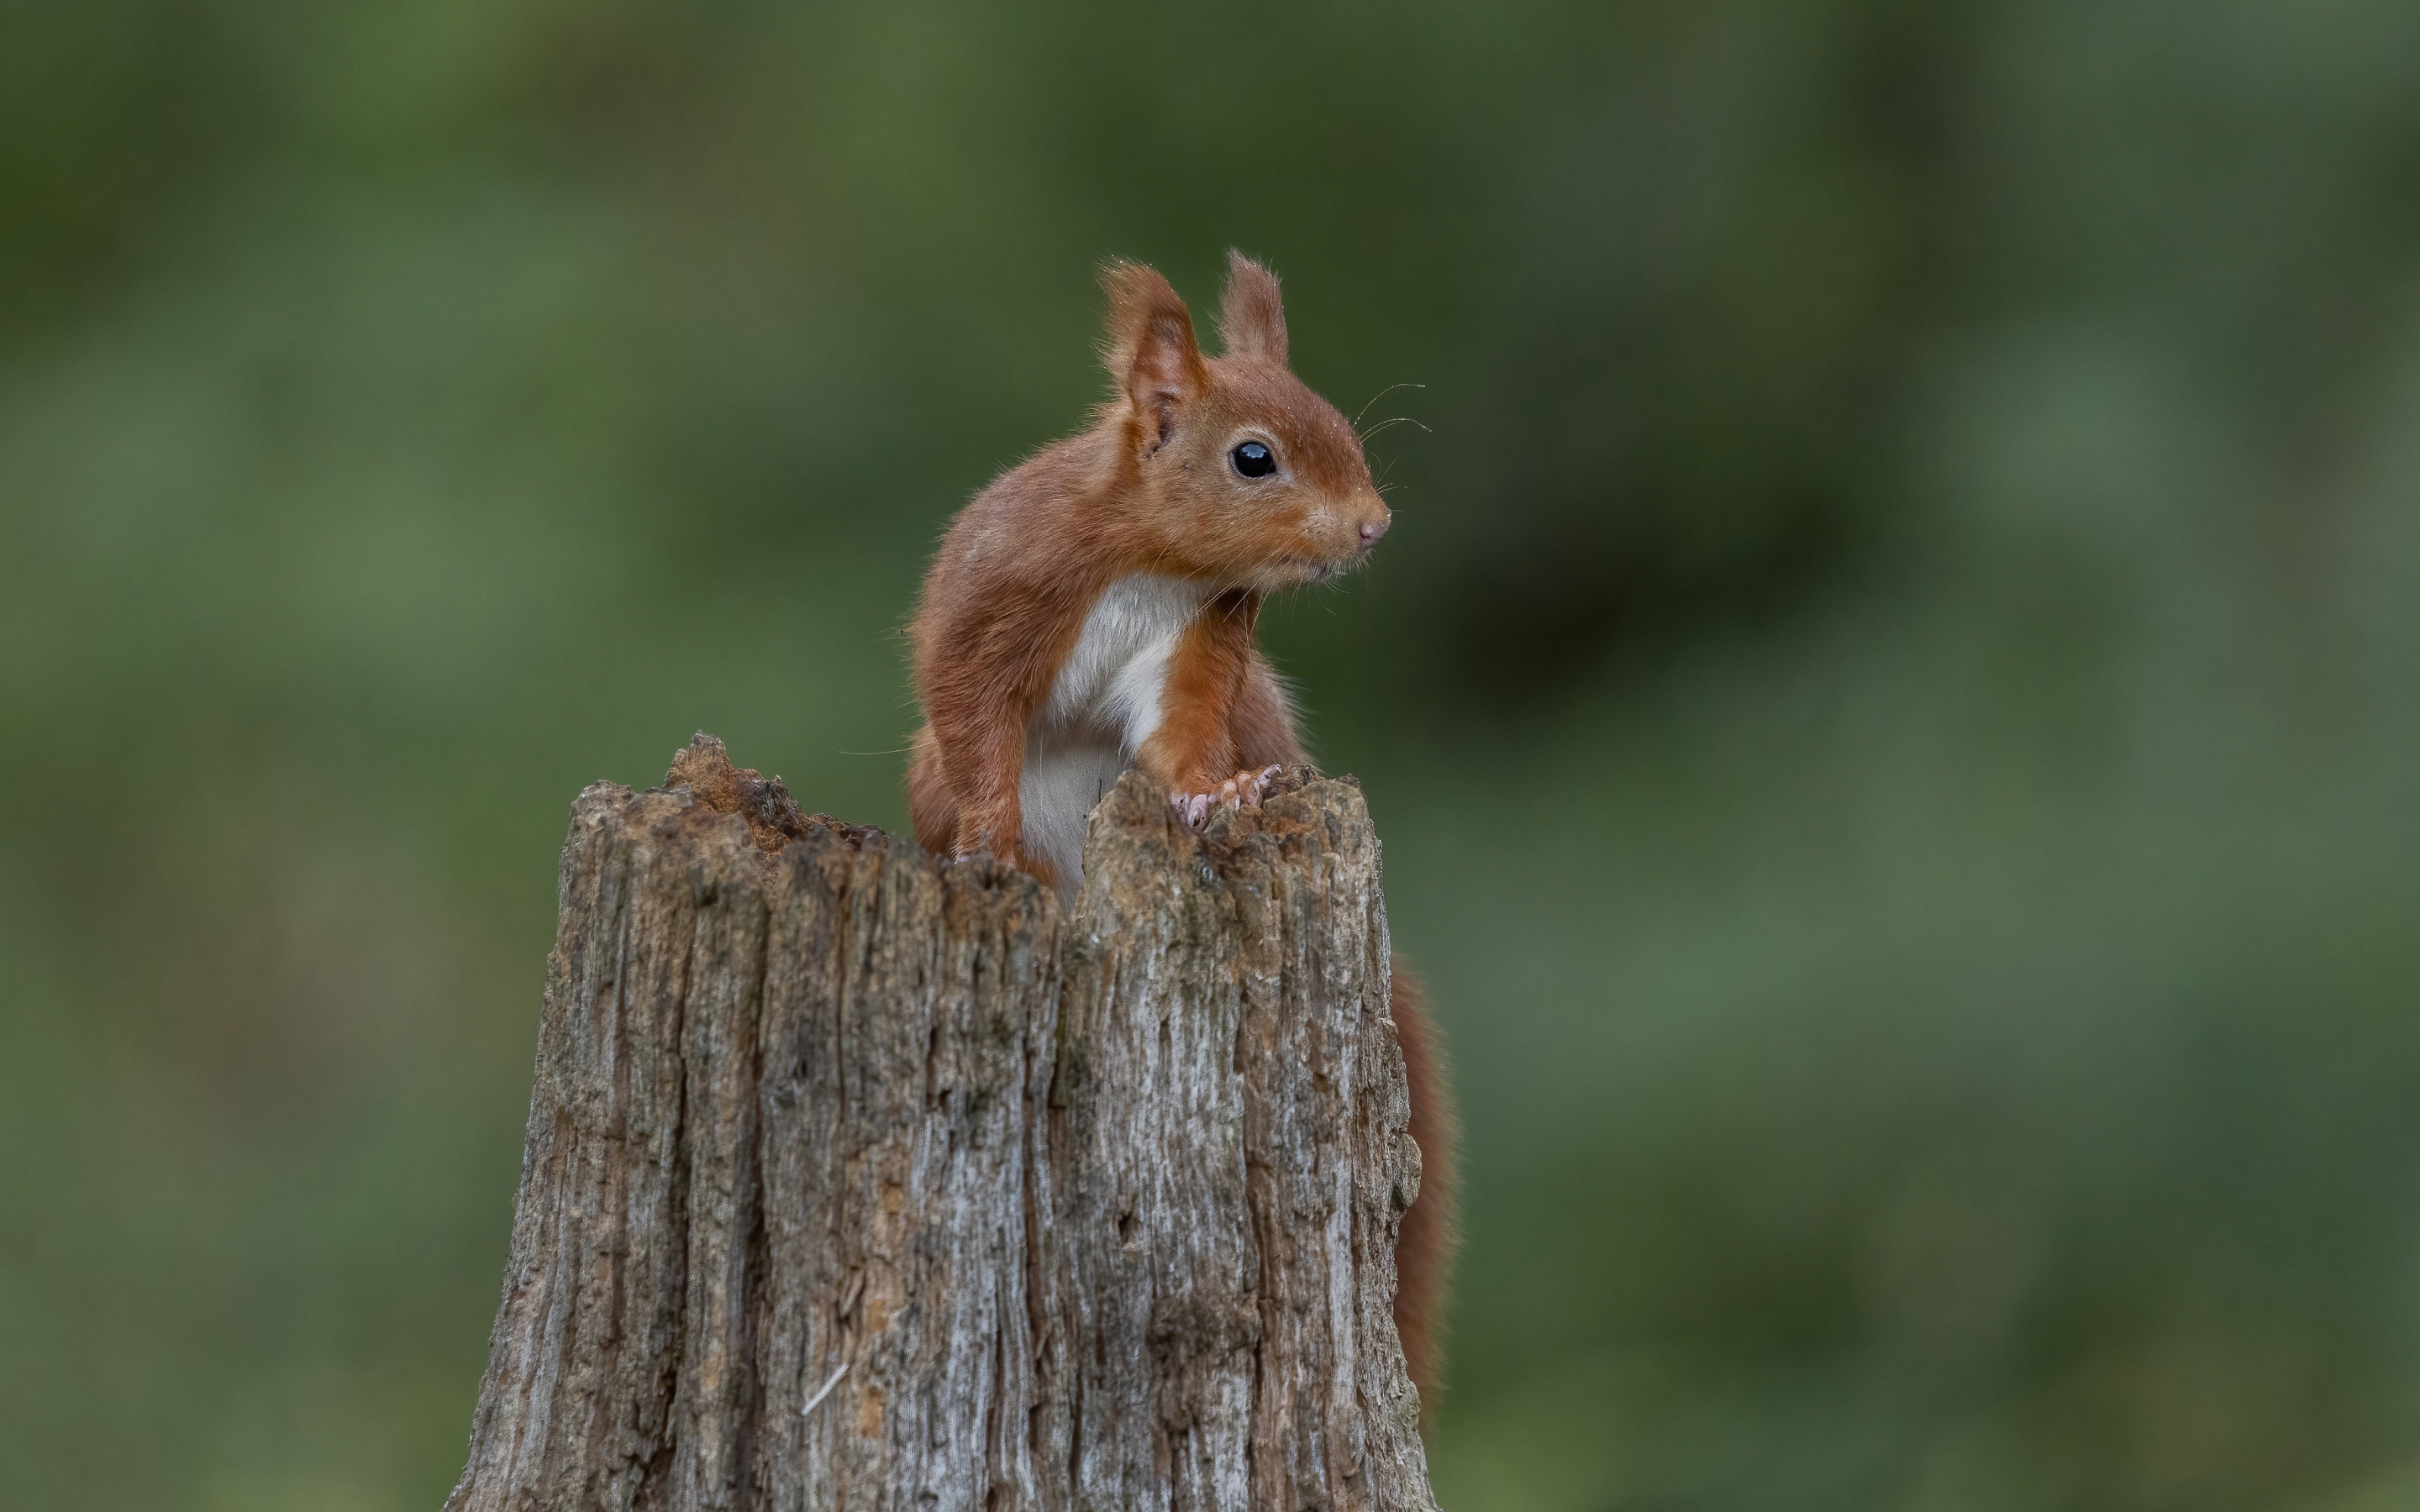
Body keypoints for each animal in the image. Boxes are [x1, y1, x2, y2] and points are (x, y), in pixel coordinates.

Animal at [895, 256, 1442, 1403]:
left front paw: (1212, 798)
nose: (1372, 526)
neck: (1153, 557)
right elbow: (972, 712)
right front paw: (989, 842)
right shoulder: (998, 601)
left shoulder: (1202, 639)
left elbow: (1181, 730)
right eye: (1253, 458)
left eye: (1343, 426)